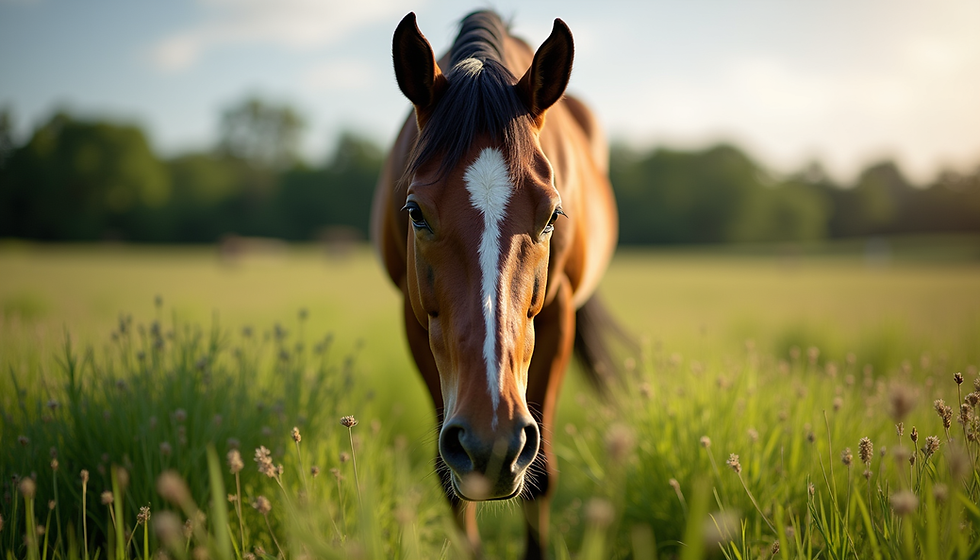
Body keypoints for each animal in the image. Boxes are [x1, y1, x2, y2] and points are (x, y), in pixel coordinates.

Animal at [371, 10, 618, 559]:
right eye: (415, 212)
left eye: (552, 215)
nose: (493, 442)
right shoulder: (412, 321)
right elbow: (451, 488)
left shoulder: (559, 315)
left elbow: (541, 478)